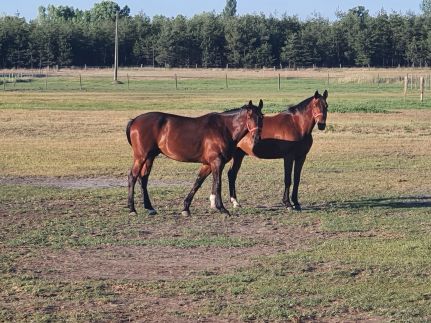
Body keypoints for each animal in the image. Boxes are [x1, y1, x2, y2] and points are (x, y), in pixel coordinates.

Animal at [126, 100, 264, 218]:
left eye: (261, 117)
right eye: (249, 116)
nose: (256, 138)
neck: (223, 129)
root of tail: (134, 120)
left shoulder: (207, 164)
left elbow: (198, 182)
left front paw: (186, 208)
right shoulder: (217, 162)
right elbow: (218, 184)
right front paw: (222, 209)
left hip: (150, 157)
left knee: (143, 179)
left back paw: (150, 208)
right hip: (141, 157)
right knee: (133, 177)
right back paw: (132, 209)